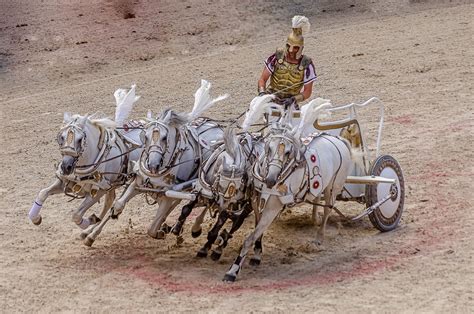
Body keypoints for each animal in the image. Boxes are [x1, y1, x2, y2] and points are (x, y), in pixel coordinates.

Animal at [27, 84, 143, 237]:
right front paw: (35, 218)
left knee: (116, 204)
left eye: (80, 139)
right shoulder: (66, 182)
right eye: (61, 137)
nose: (66, 167)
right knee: (110, 202)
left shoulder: (99, 190)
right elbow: (42, 193)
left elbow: (76, 215)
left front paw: (91, 219)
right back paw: (90, 233)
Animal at [84, 79, 230, 245]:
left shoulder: (168, 192)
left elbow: (152, 229)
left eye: (165, 138)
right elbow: (118, 205)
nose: (152, 165)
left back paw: (194, 228)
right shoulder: (138, 183)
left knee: (206, 201)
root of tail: (216, 127)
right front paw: (90, 234)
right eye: (145, 136)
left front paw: (161, 231)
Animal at [224, 97, 354, 280]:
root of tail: (338, 140)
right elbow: (257, 231)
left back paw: (319, 237)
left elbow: (250, 237)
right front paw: (257, 254)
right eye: (269, 147)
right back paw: (314, 219)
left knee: (328, 209)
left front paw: (233, 270)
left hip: (333, 187)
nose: (271, 179)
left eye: (287, 152)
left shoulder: (272, 207)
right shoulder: (257, 202)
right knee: (316, 198)